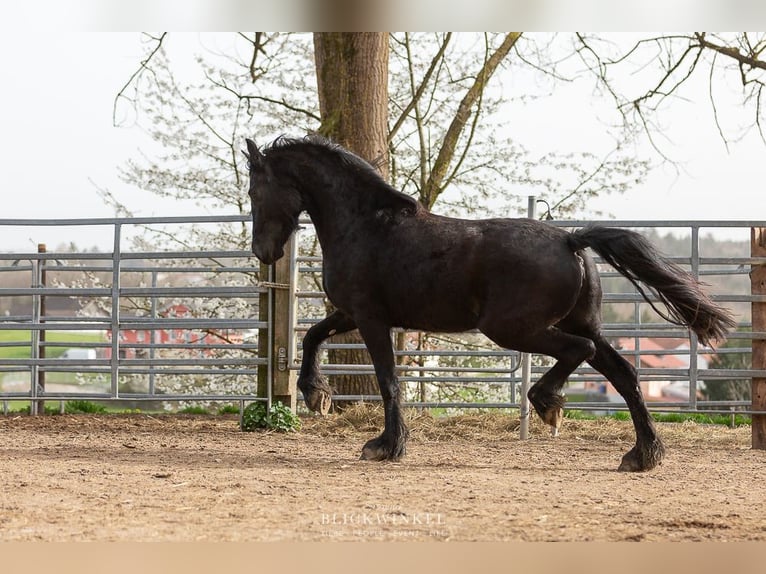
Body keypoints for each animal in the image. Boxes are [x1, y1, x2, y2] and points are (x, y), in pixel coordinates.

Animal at [246, 135, 736, 472]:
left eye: (253, 191)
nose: (263, 252)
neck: (365, 225)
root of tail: (572, 241)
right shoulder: (353, 313)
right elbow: (312, 336)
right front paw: (316, 394)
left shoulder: (370, 319)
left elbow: (387, 380)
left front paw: (384, 446)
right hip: (578, 323)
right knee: (623, 372)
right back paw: (641, 454)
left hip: (514, 328)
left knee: (582, 354)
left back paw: (548, 404)